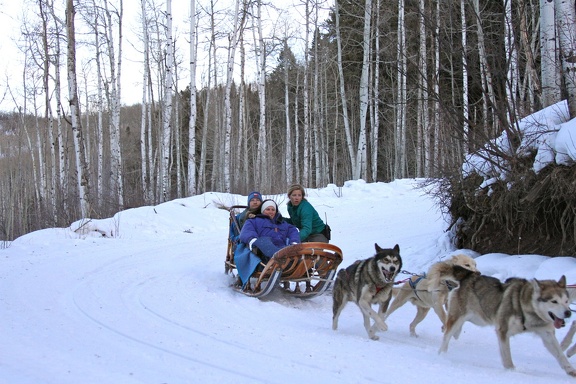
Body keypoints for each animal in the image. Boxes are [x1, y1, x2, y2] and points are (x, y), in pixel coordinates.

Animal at [438, 274, 572, 376]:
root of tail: (467, 278)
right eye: (554, 301)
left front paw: (571, 371)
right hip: (459, 318)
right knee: (446, 336)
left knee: (453, 330)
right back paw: (442, 355)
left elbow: (561, 355)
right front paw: (511, 371)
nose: (569, 312)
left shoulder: (547, 334)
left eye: (566, 301)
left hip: (477, 317)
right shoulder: (503, 331)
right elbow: (507, 356)